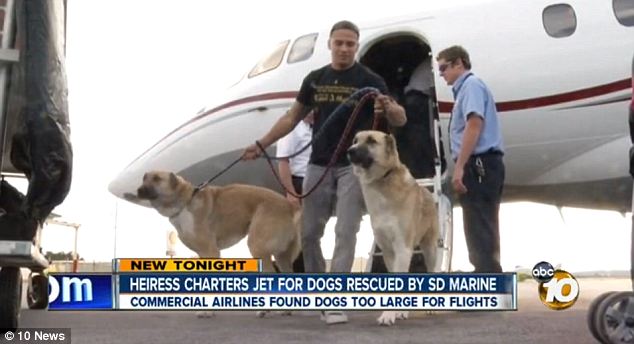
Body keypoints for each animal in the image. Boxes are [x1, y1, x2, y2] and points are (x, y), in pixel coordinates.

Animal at [124, 172, 302, 318]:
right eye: (144, 178)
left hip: (257, 246)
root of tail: (290, 205)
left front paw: (208, 311)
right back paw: (287, 310)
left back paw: (265, 310)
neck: (185, 202)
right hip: (281, 256)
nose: (138, 190)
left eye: (157, 179)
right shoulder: (203, 255)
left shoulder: (210, 251)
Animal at [346, 130, 440, 326]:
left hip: (430, 249)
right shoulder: (389, 251)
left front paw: (388, 315)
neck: (382, 180)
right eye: (355, 140)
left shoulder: (402, 247)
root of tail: (427, 192)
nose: (349, 151)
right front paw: (395, 312)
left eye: (371, 141)